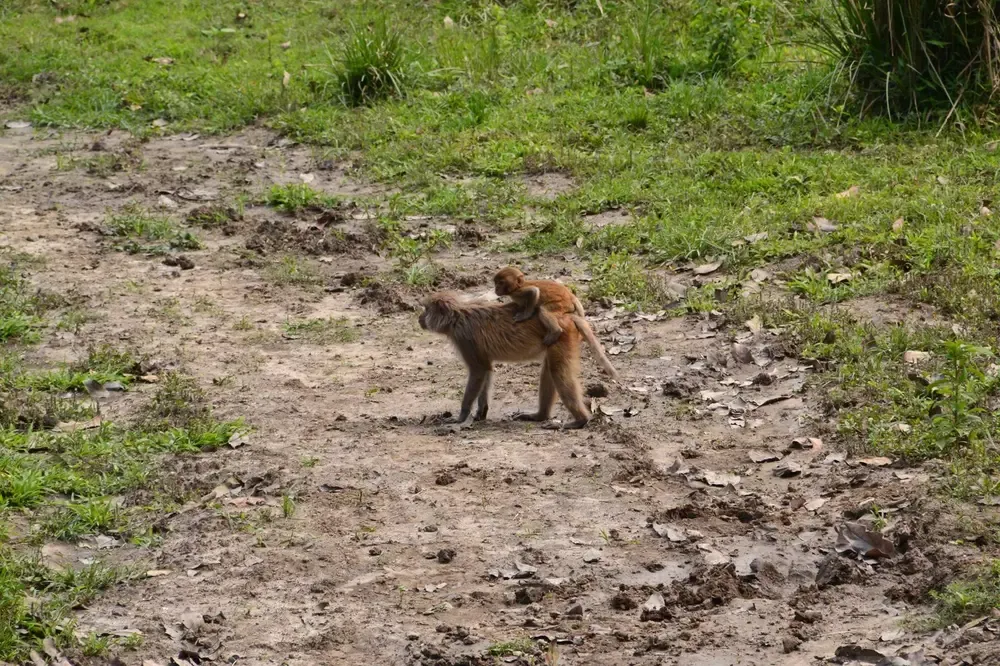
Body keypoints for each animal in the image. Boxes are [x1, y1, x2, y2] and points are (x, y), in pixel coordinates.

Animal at [418, 290, 615, 429]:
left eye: (426, 310)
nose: (420, 318)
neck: (457, 315)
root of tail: (564, 316)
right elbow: (486, 369)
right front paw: (481, 412)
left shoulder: (464, 337)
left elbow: (478, 370)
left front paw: (461, 417)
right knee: (549, 370)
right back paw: (540, 416)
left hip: (561, 337)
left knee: (558, 372)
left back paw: (580, 420)